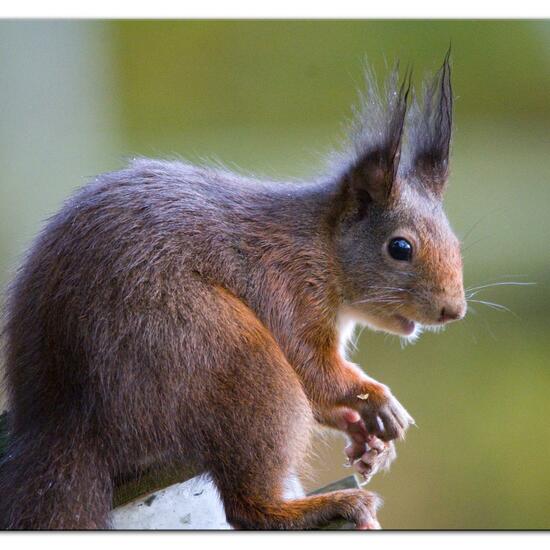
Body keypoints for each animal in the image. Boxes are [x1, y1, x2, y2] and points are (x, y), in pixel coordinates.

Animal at [0, 54, 466, 532]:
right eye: (400, 248)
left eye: (455, 241)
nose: (454, 310)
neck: (320, 248)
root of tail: (66, 417)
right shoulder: (284, 291)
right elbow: (314, 370)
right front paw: (377, 400)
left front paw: (366, 440)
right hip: (229, 357)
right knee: (246, 506)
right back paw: (323, 506)